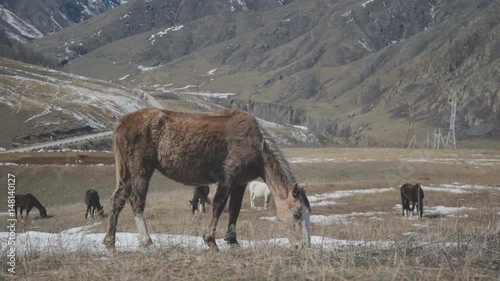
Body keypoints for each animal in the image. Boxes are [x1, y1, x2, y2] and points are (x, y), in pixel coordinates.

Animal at [103, 106, 310, 249]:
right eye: (296, 214)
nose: (304, 246)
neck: (257, 147)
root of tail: (122, 124)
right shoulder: (226, 180)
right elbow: (218, 207)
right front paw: (211, 241)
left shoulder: (240, 183)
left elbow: (234, 210)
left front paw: (233, 241)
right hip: (141, 170)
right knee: (136, 201)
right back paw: (148, 242)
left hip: (129, 175)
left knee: (117, 200)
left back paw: (110, 241)